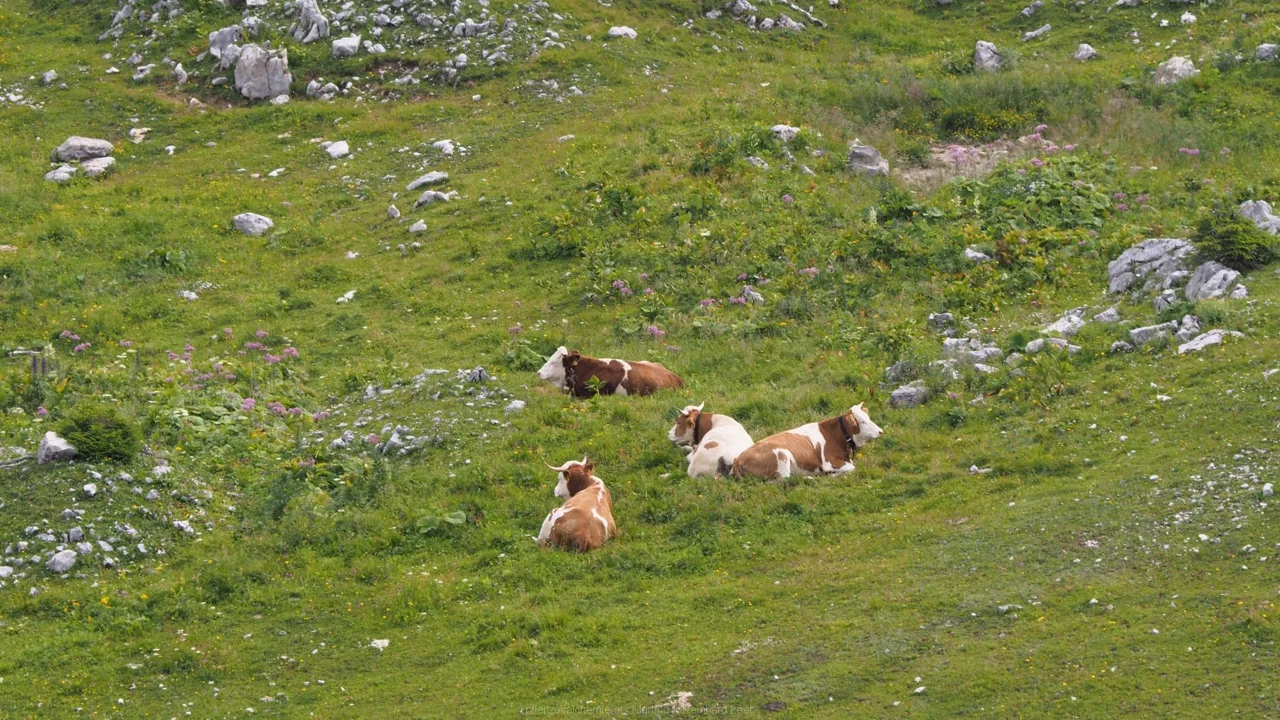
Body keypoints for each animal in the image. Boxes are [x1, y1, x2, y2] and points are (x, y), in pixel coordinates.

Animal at [731, 404, 883, 480]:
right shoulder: (830, 462)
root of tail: (738, 458)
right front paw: (832, 475)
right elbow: (852, 468)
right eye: (862, 421)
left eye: (868, 417)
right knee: (785, 480)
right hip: (781, 456)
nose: (881, 431)